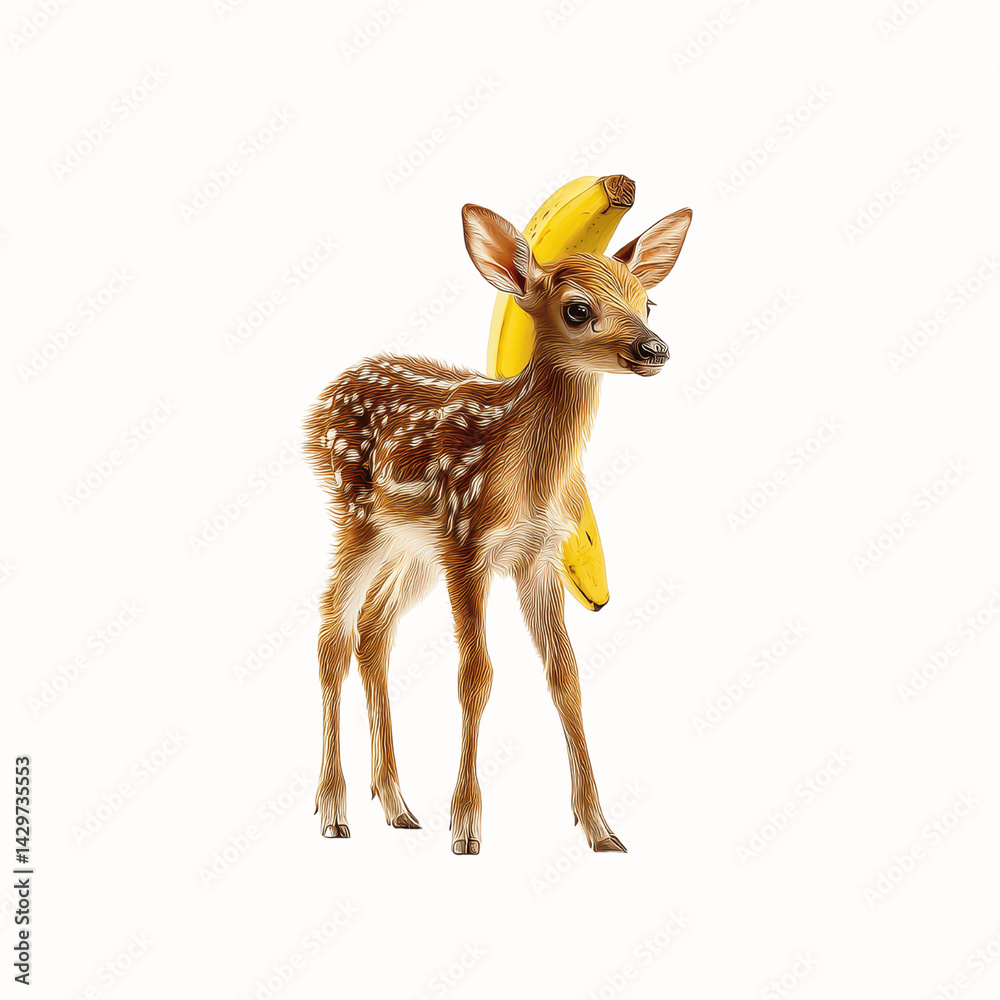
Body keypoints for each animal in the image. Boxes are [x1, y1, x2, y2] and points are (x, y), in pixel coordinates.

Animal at [303, 201, 692, 854]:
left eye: (649, 303)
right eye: (578, 308)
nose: (655, 348)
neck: (524, 471)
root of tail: (322, 402)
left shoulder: (537, 555)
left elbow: (565, 676)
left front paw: (601, 829)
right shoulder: (468, 543)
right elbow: (476, 675)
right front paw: (465, 826)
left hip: (411, 545)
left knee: (374, 629)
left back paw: (398, 806)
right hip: (357, 514)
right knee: (333, 631)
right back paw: (334, 811)